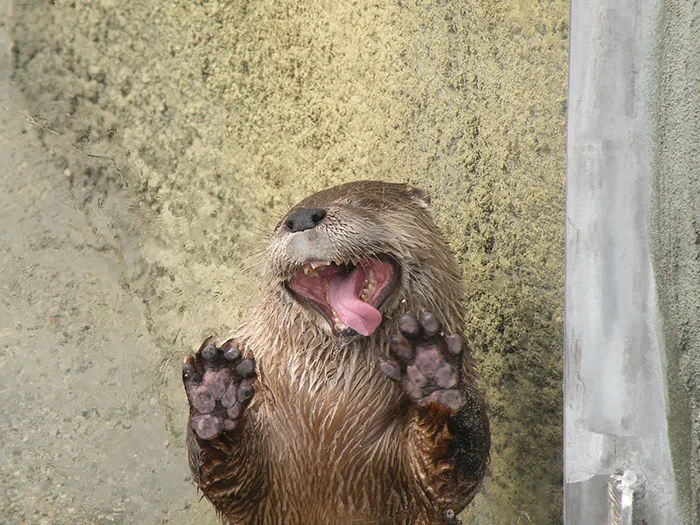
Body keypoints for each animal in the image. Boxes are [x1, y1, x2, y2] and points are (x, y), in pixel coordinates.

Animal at [182, 181, 490, 524]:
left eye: (365, 203)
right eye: (283, 219)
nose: (302, 218)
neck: (328, 403)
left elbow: (449, 476)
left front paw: (430, 368)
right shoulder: (258, 499)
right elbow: (228, 482)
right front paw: (217, 391)